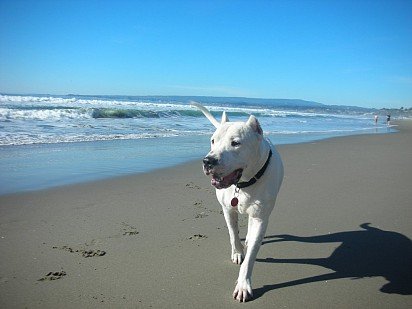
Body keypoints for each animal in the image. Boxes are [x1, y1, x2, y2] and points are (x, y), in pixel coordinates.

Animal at [191, 103, 284, 300]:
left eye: (236, 143)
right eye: (213, 140)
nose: (208, 161)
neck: (244, 183)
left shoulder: (260, 218)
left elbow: (251, 255)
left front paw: (243, 284)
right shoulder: (228, 209)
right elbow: (233, 233)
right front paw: (237, 252)